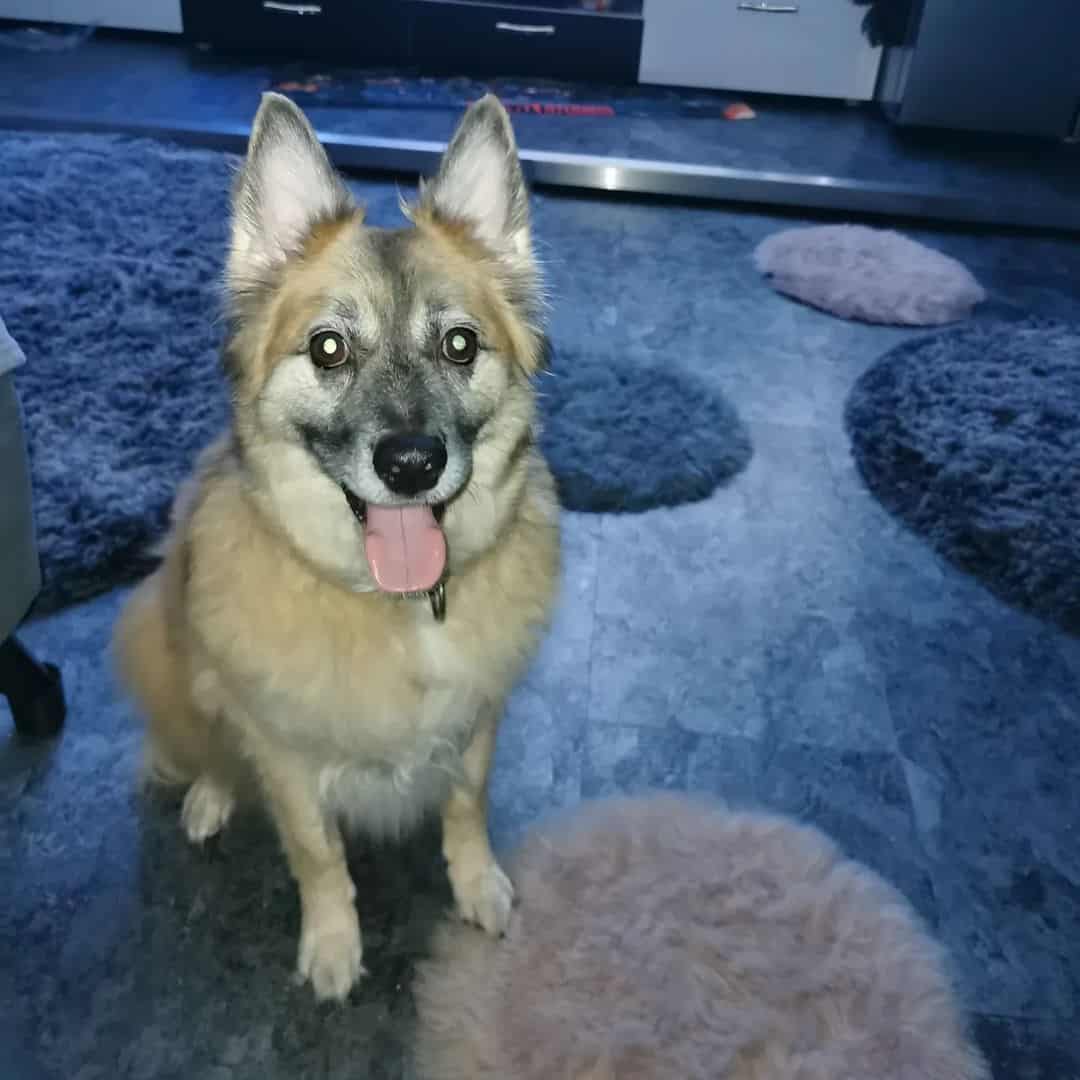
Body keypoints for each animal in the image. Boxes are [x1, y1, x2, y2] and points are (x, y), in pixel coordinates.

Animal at [113, 92, 561, 1002]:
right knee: (209, 742)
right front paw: (331, 945)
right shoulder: (285, 754)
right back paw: (210, 795)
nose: (412, 464)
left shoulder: (477, 720)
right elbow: (316, 853)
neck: (393, 608)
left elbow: (466, 808)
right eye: (329, 348)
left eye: (459, 344)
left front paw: (477, 885)